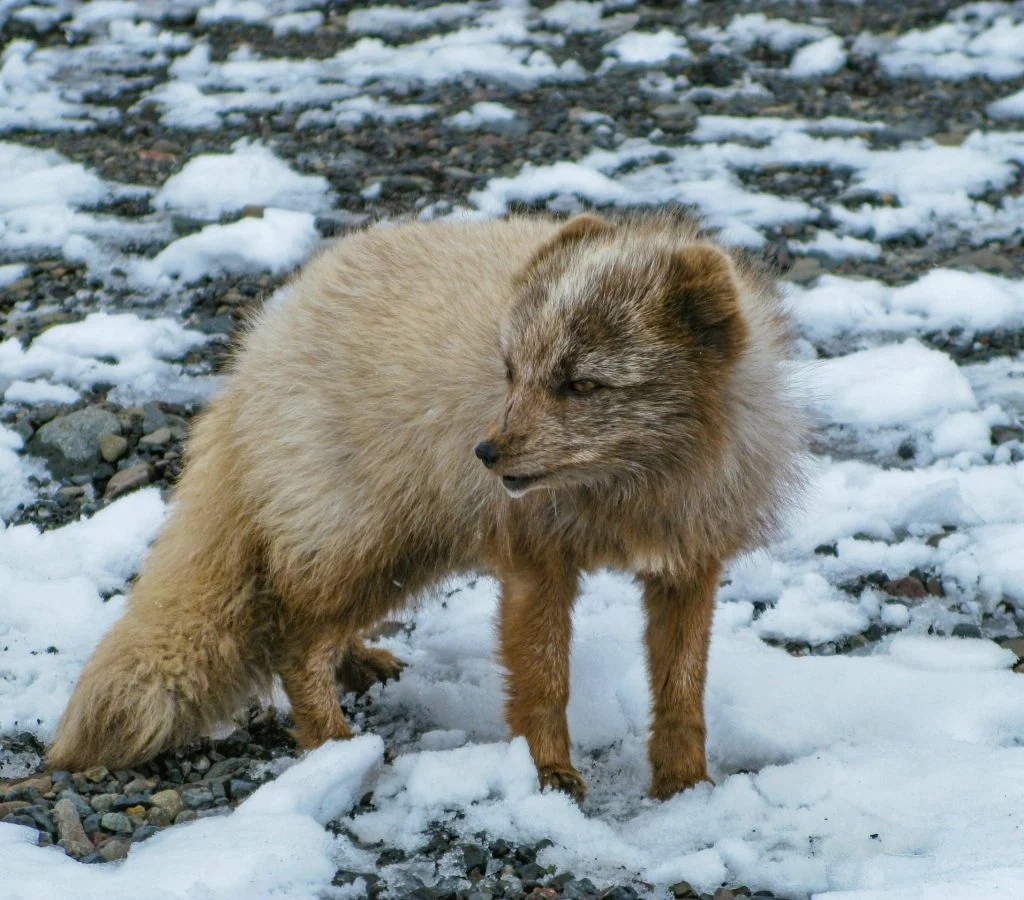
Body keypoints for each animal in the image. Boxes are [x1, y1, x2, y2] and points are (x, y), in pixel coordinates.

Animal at [48, 212, 805, 800]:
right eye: (512, 373)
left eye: (582, 384)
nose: (487, 452)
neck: (632, 496)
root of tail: (262, 341)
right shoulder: (536, 565)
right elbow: (543, 683)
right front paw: (548, 777)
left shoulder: (688, 567)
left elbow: (682, 694)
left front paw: (686, 788)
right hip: (373, 542)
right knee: (292, 637)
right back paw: (335, 749)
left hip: (404, 554)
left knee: (307, 621)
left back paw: (357, 667)